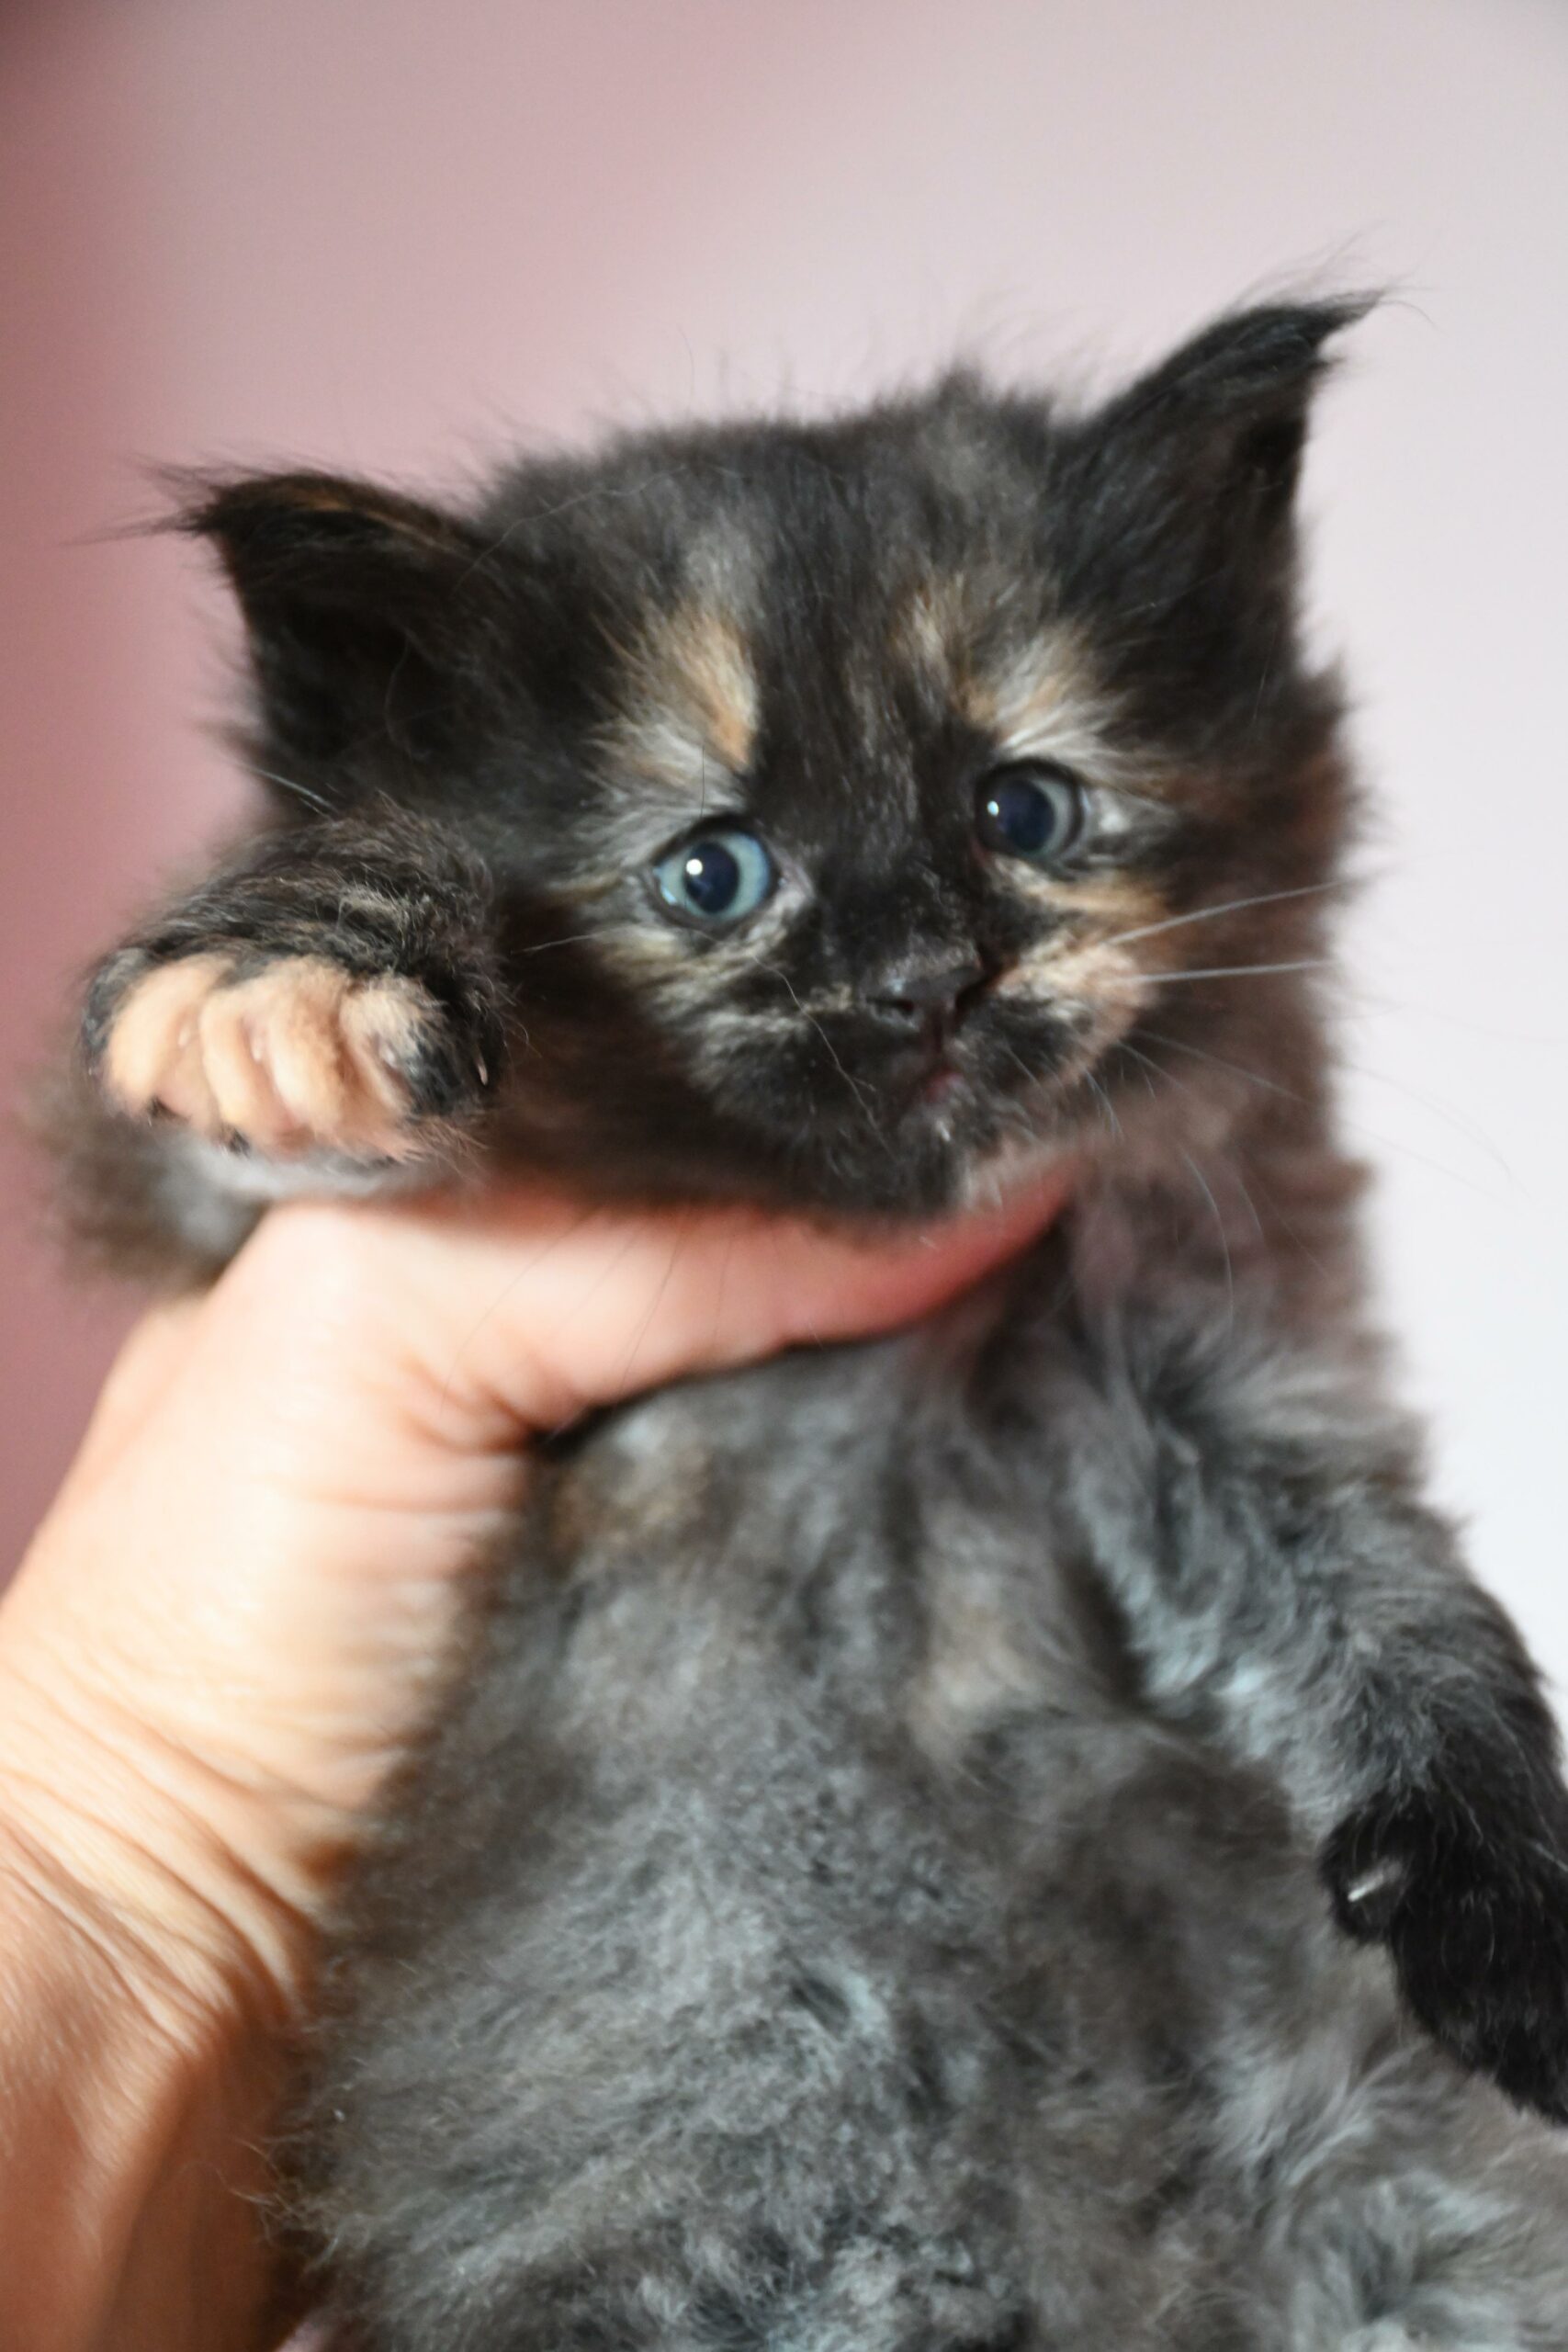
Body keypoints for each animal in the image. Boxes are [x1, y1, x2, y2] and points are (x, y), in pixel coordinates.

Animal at [54, 299, 1568, 2348]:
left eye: (1023, 811)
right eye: (713, 871)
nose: (924, 978)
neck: (901, 1365)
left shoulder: (1198, 1370)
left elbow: (1387, 1594)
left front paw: (1506, 1883)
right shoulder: (226, 1233)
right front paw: (295, 966)